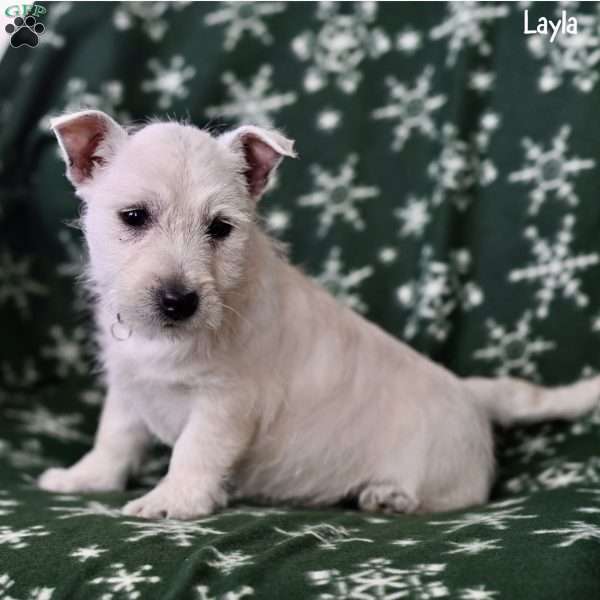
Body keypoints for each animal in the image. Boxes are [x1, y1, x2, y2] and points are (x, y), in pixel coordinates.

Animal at [38, 110, 600, 516]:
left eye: (220, 228)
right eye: (134, 217)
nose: (179, 301)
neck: (170, 340)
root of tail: (471, 394)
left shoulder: (226, 403)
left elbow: (193, 450)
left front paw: (170, 501)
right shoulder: (129, 386)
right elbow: (113, 436)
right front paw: (85, 478)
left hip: (443, 471)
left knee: (451, 496)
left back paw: (390, 495)